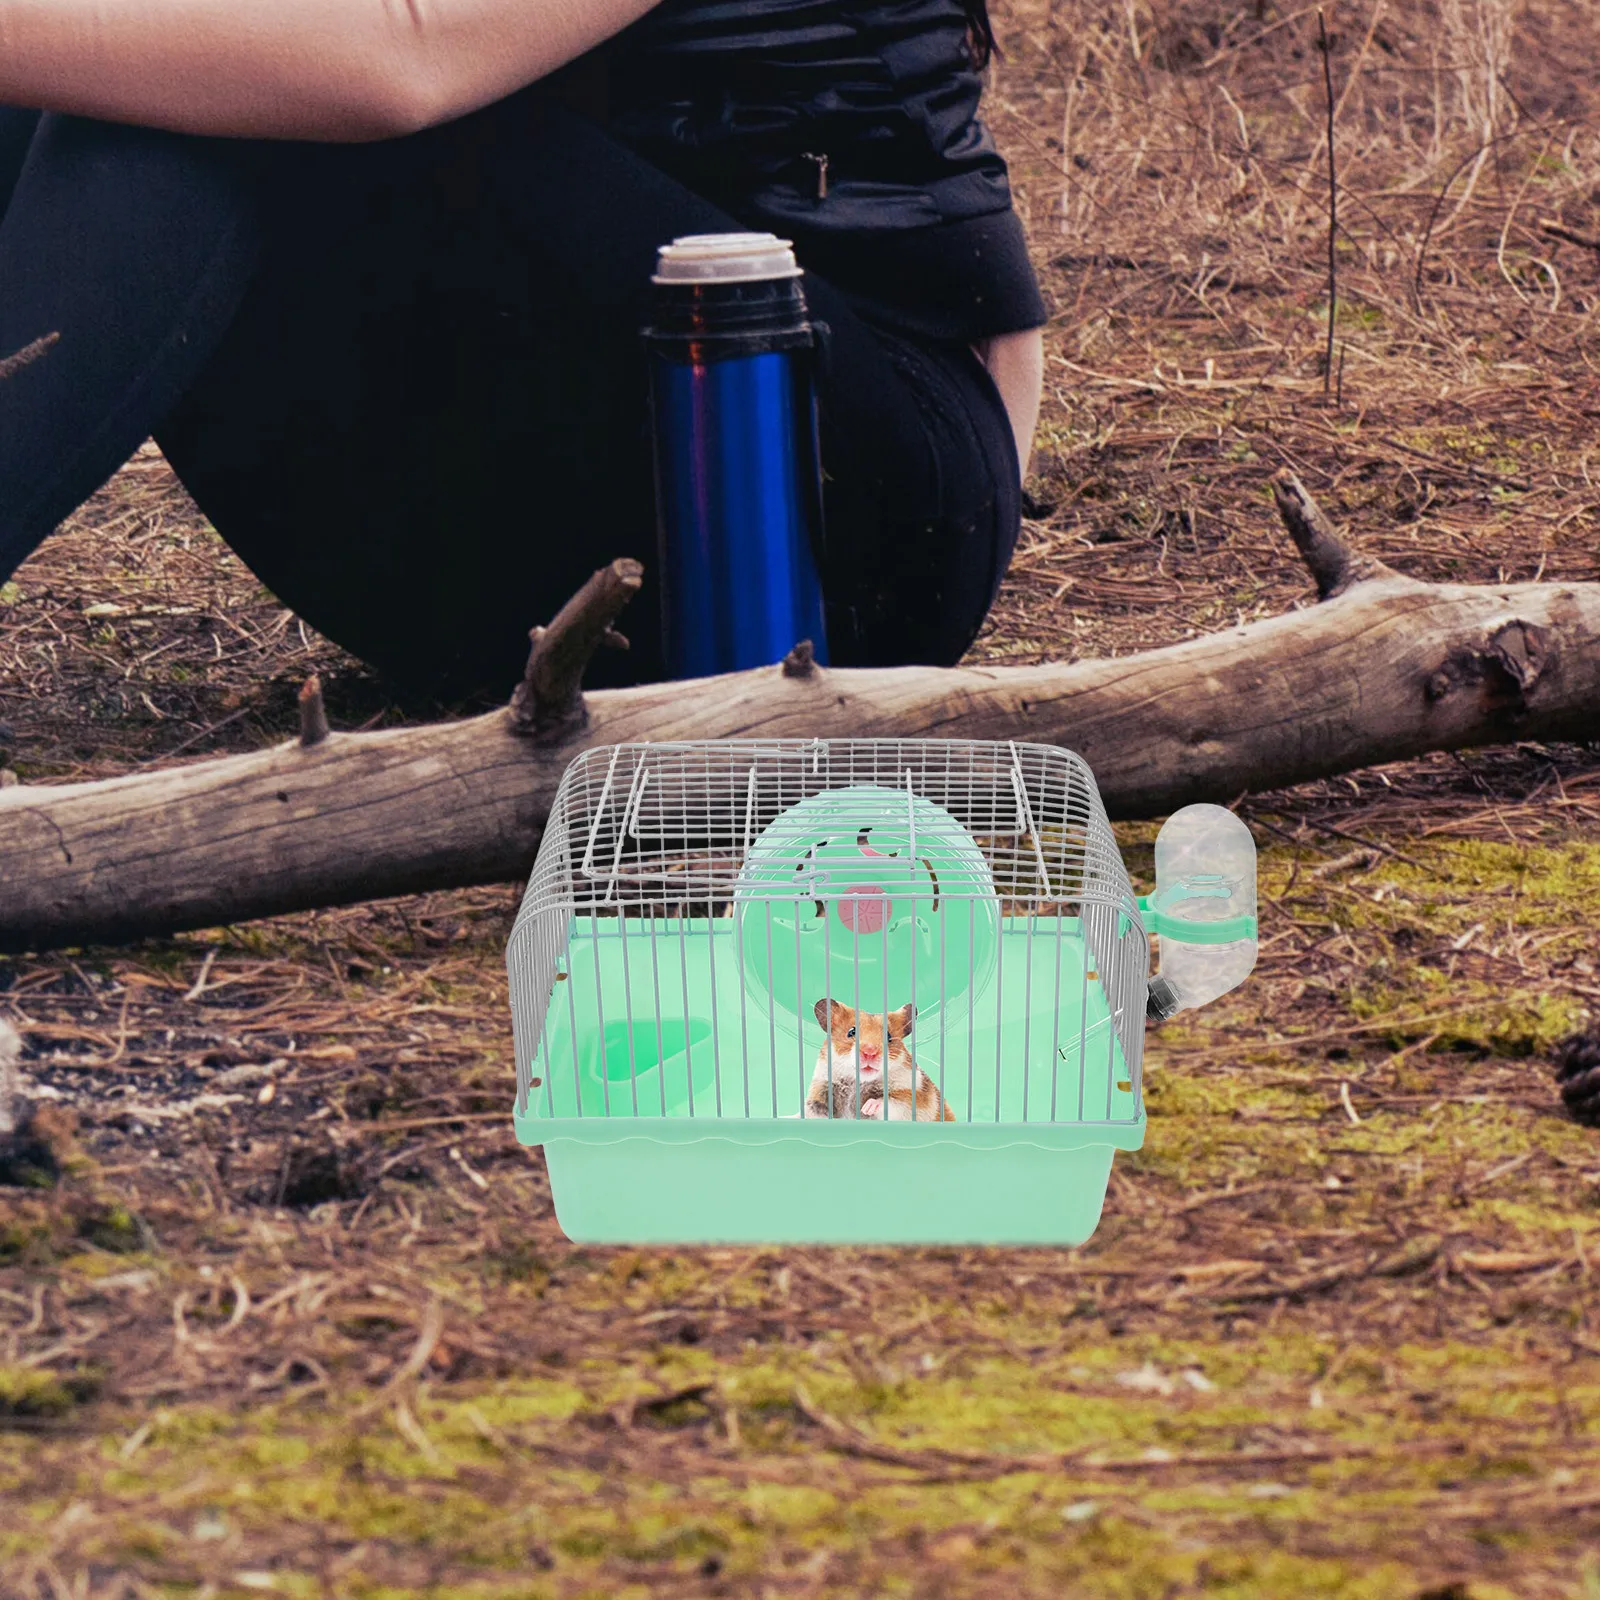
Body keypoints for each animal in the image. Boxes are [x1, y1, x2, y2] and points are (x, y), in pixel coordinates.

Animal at [805, 997, 955, 1121]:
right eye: (851, 1032)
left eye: (888, 1036)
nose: (870, 1052)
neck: (858, 1083)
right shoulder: (820, 1093)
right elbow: (812, 1111)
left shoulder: (912, 1098)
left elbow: (889, 1102)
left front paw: (866, 1107)